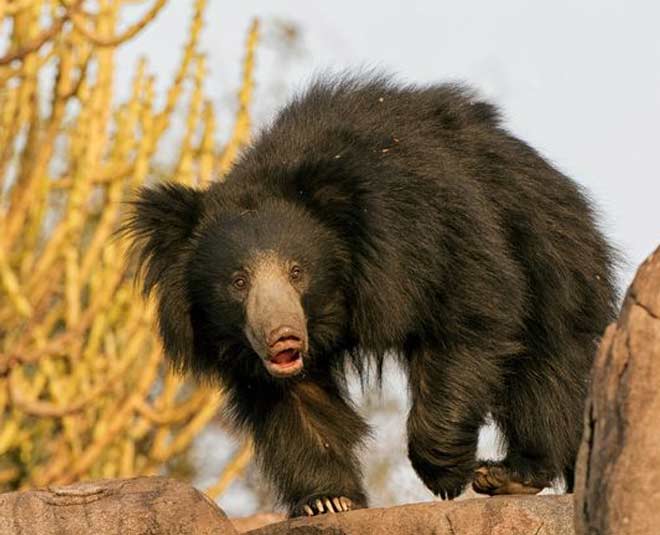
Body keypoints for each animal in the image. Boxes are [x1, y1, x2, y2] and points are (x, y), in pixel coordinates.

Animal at [123, 74, 618, 517]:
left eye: (297, 271)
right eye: (238, 281)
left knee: (546, 364)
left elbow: (470, 312)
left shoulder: (428, 232)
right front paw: (328, 500)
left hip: (551, 251)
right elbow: (296, 401)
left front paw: (445, 474)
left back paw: (515, 473)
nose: (283, 337)